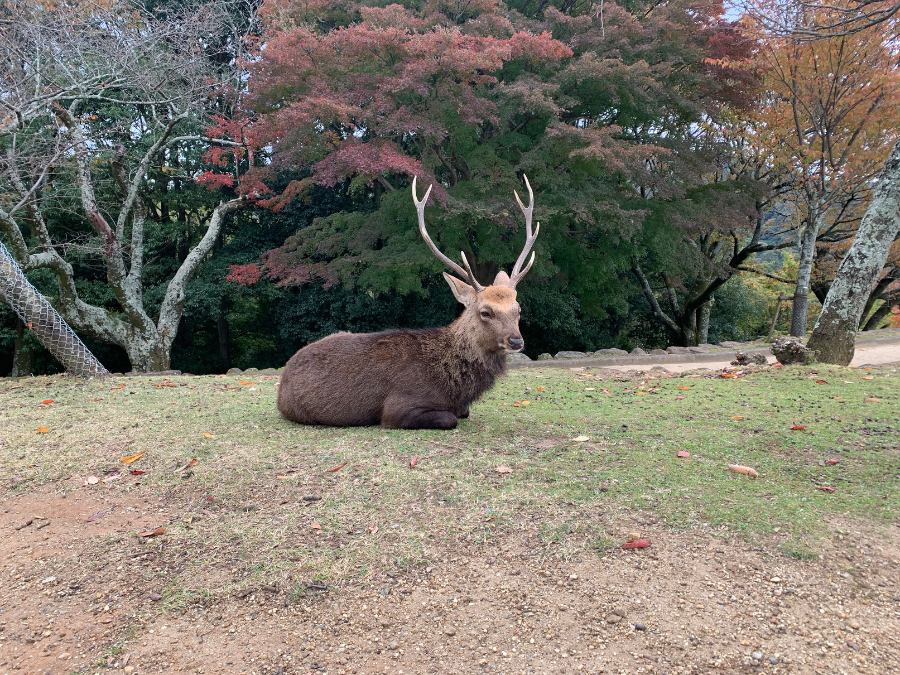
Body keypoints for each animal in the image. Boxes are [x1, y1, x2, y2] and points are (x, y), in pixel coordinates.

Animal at [278, 174, 536, 428]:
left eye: (518, 309)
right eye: (485, 312)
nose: (516, 341)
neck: (455, 387)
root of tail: (283, 379)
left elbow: (462, 413)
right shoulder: (398, 408)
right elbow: (450, 418)